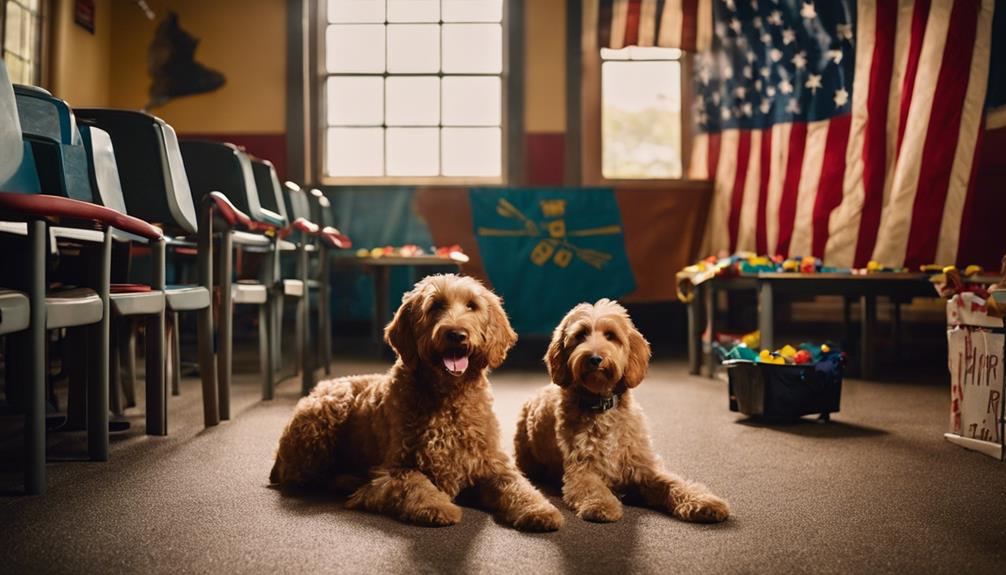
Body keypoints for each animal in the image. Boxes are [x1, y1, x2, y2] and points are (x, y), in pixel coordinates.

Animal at [267, 273, 567, 530]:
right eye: (435, 305)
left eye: (472, 306)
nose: (456, 334)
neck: (448, 399)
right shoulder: (396, 470)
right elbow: (418, 485)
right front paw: (437, 507)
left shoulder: (492, 464)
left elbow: (519, 487)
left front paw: (540, 509)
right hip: (325, 413)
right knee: (302, 475)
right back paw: (347, 480)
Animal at [515, 301, 728, 526]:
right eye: (580, 335)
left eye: (610, 335)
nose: (595, 359)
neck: (602, 405)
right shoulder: (581, 470)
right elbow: (592, 488)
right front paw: (601, 505)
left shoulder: (644, 466)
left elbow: (674, 483)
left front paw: (702, 501)